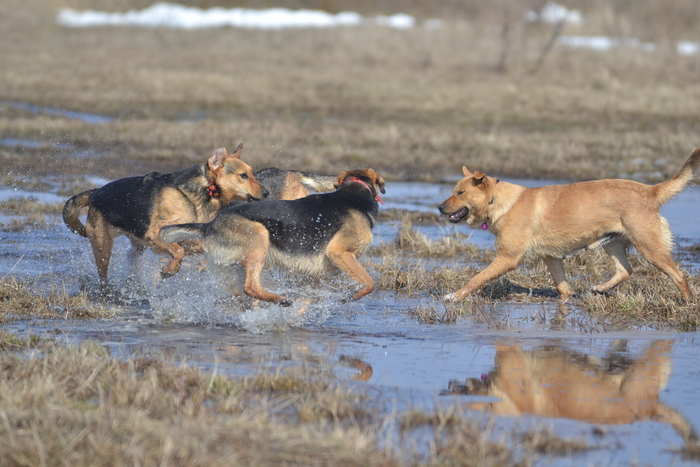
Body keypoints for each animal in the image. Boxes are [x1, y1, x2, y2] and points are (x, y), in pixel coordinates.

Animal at [63, 145, 268, 286]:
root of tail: (95, 193)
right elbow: (178, 252)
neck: (208, 189)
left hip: (137, 244)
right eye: (243, 176)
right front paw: (169, 270)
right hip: (102, 245)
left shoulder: (184, 237)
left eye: (252, 174)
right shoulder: (155, 233)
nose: (267, 193)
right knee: (103, 274)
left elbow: (198, 247)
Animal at [158, 169, 386, 306]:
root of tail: (210, 225)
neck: (353, 193)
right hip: (260, 237)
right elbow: (369, 282)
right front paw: (352, 297)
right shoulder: (339, 253)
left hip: (232, 268)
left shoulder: (315, 277)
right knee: (251, 287)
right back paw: (280, 299)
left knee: (242, 291)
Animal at [438, 148, 700, 302]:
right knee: (625, 270)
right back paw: (601, 289)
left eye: (460, 193)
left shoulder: (507, 258)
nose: (439, 207)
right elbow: (563, 288)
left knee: (679, 276)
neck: (498, 201)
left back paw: (687, 303)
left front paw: (453, 296)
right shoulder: (551, 258)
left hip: (649, 246)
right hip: (613, 243)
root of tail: (651, 191)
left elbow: (475, 279)